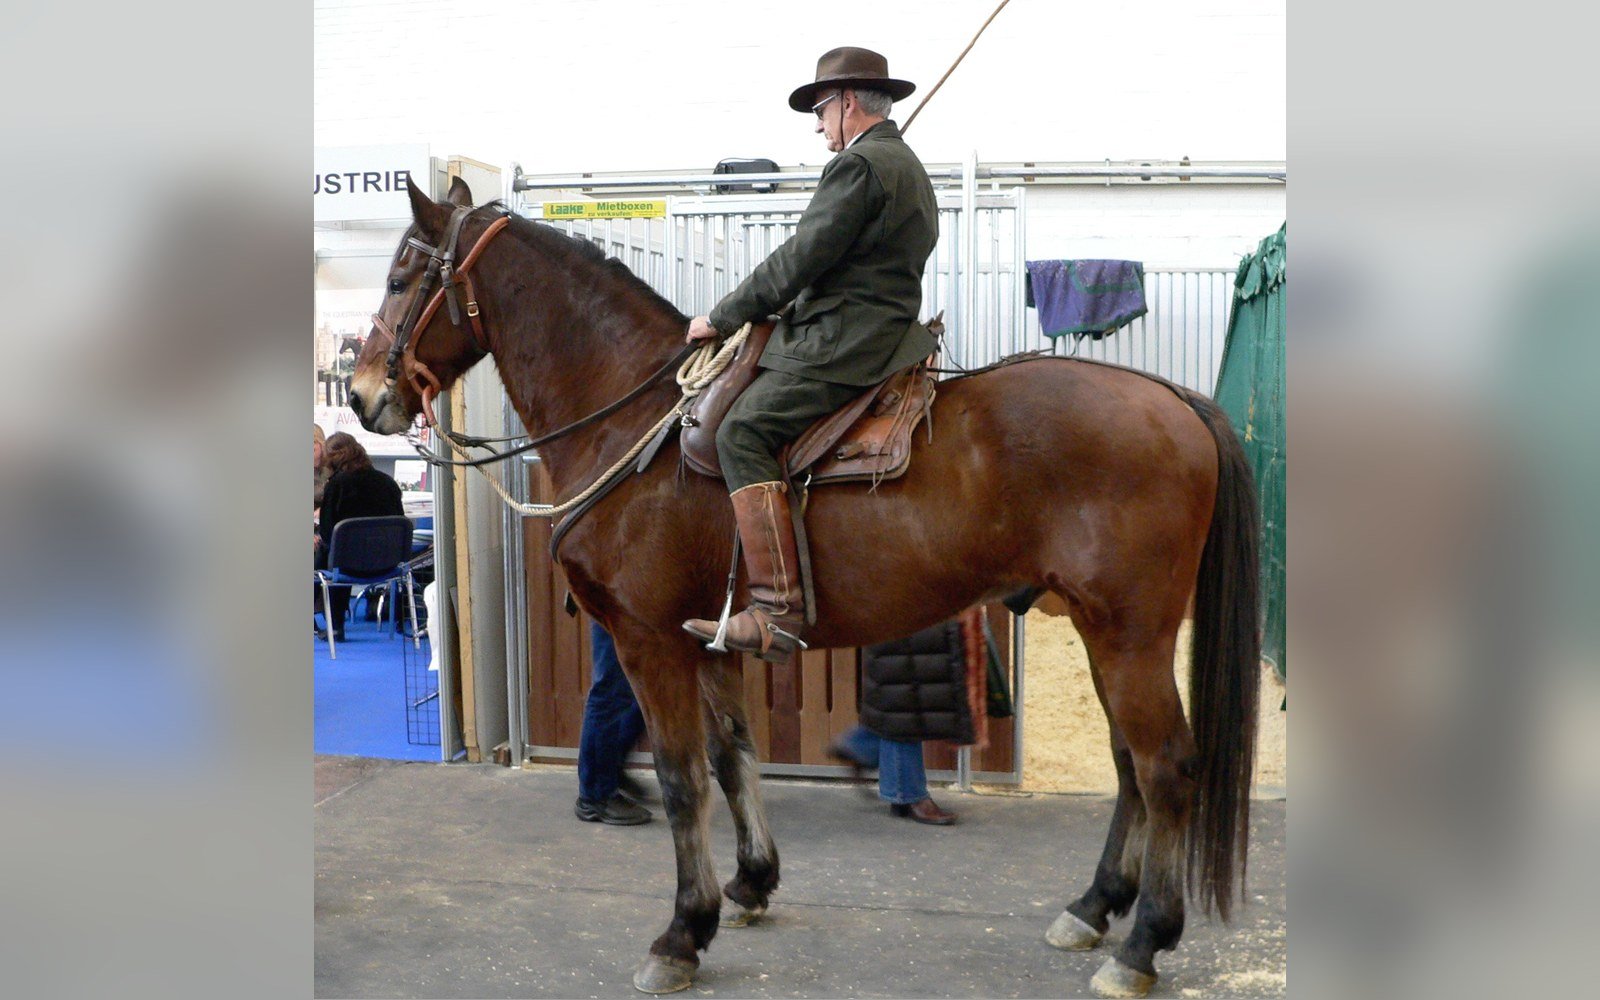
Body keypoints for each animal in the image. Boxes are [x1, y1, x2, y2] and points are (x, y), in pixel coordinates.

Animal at [348, 176, 1260, 999]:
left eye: (400, 277)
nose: (358, 395)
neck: (635, 422)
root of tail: (1173, 400)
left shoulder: (649, 642)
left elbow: (681, 779)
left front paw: (682, 932)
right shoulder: (709, 638)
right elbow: (732, 756)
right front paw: (750, 884)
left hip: (1131, 636)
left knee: (1165, 767)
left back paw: (1142, 943)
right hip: (1103, 632)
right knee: (1129, 764)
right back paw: (1094, 906)